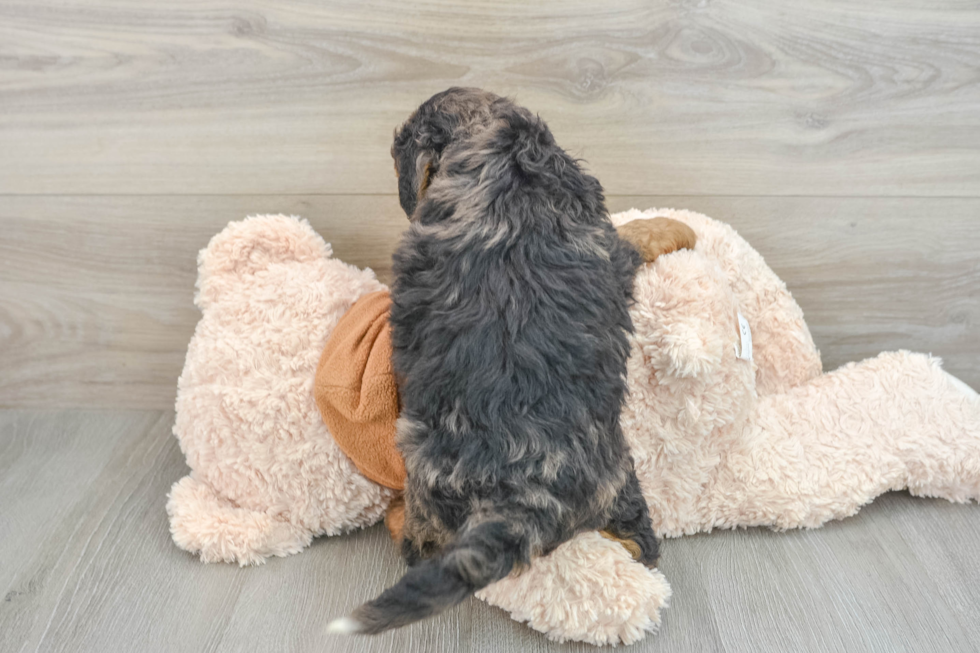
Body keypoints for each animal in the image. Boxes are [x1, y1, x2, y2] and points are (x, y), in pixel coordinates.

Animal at [334, 89, 664, 636]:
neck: (503, 146)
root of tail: (523, 497)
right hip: (618, 472)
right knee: (641, 538)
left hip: (424, 470)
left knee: (422, 543)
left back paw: (399, 520)